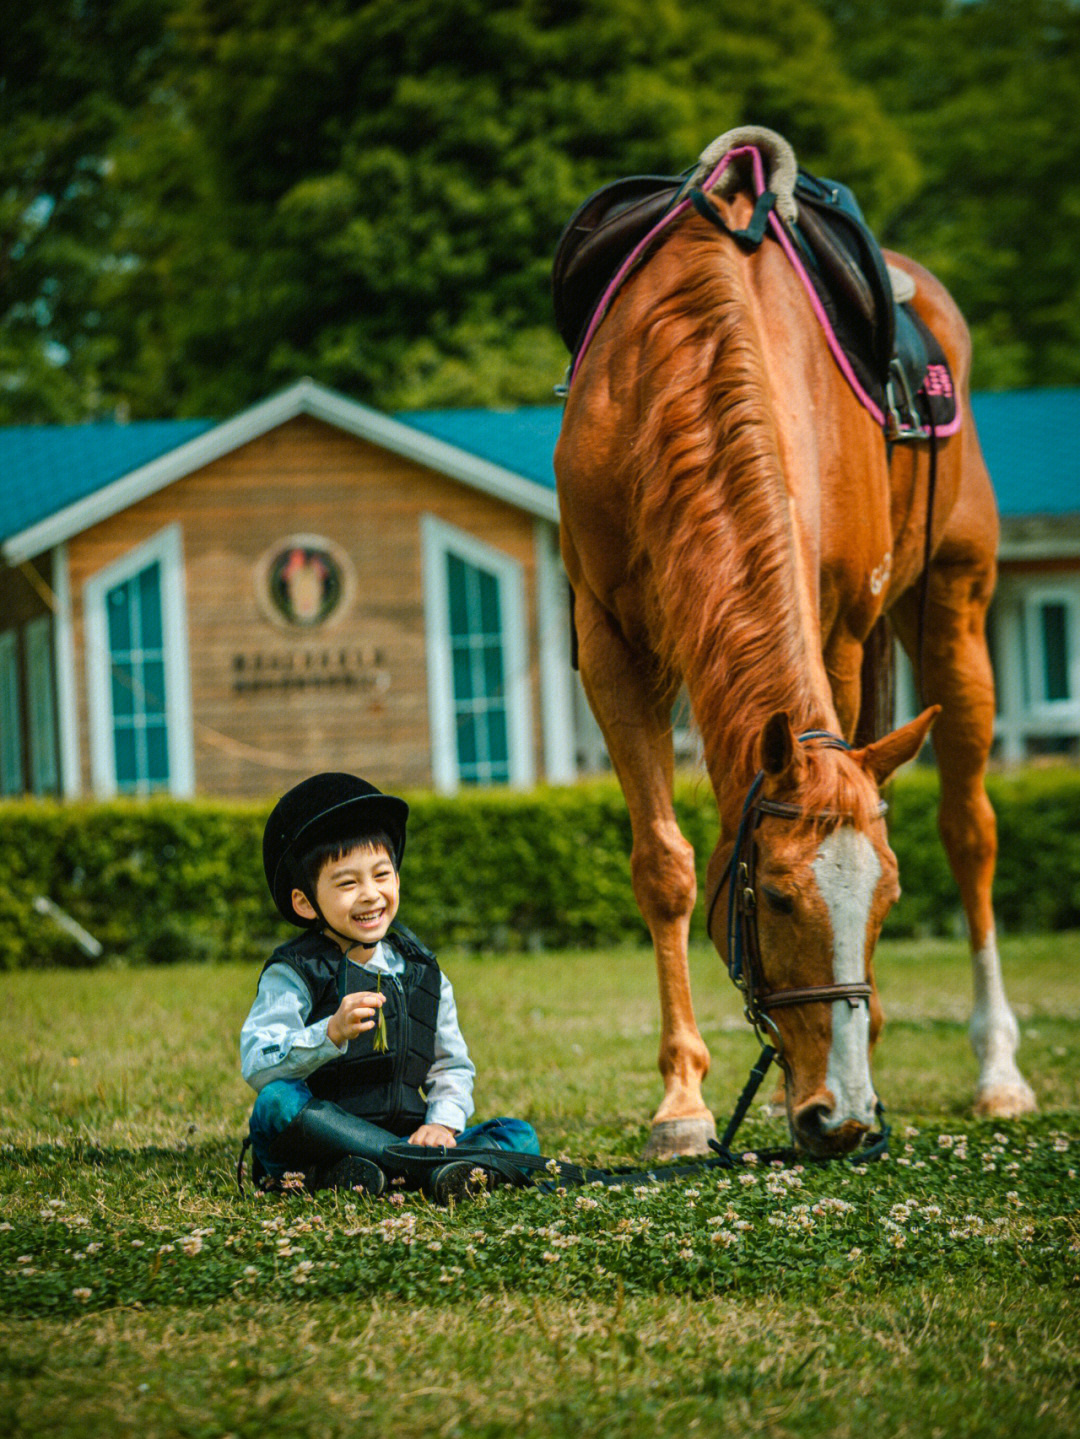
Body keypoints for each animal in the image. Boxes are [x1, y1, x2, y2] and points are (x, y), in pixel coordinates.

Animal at [557, 132, 1041, 1156]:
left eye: (888, 899)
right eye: (775, 895)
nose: (844, 1116)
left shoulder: (844, 630)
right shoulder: (609, 641)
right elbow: (664, 865)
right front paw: (683, 1100)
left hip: (956, 606)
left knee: (969, 829)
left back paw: (997, 1069)